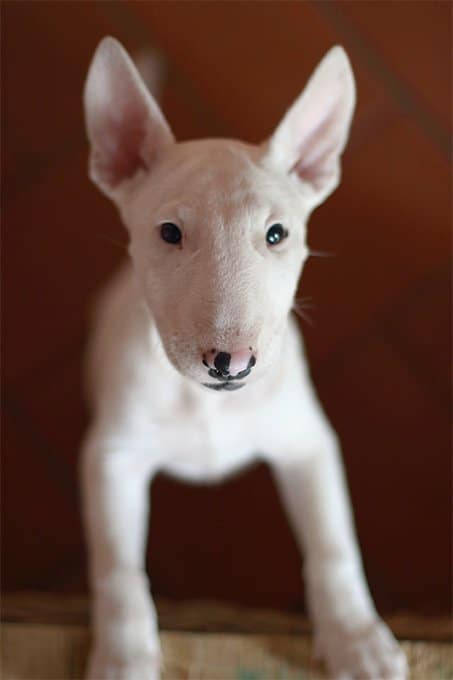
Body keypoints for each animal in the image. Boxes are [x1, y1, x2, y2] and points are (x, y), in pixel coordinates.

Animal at [80, 38, 406, 680]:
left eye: (277, 234)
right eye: (169, 232)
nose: (230, 362)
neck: (206, 405)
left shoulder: (308, 443)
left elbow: (333, 546)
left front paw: (357, 640)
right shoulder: (111, 457)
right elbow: (119, 571)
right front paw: (125, 658)